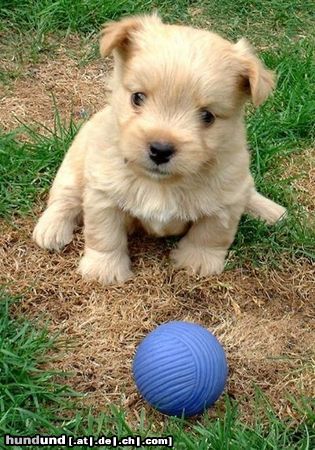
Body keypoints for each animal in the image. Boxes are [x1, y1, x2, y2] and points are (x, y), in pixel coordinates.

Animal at [33, 14, 288, 284]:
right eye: (137, 97)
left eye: (207, 116)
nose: (160, 149)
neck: (161, 184)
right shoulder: (103, 194)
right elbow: (105, 235)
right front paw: (105, 270)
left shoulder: (226, 200)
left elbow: (210, 234)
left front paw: (197, 262)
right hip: (74, 164)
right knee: (64, 199)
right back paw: (51, 229)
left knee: (249, 192)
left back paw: (271, 211)